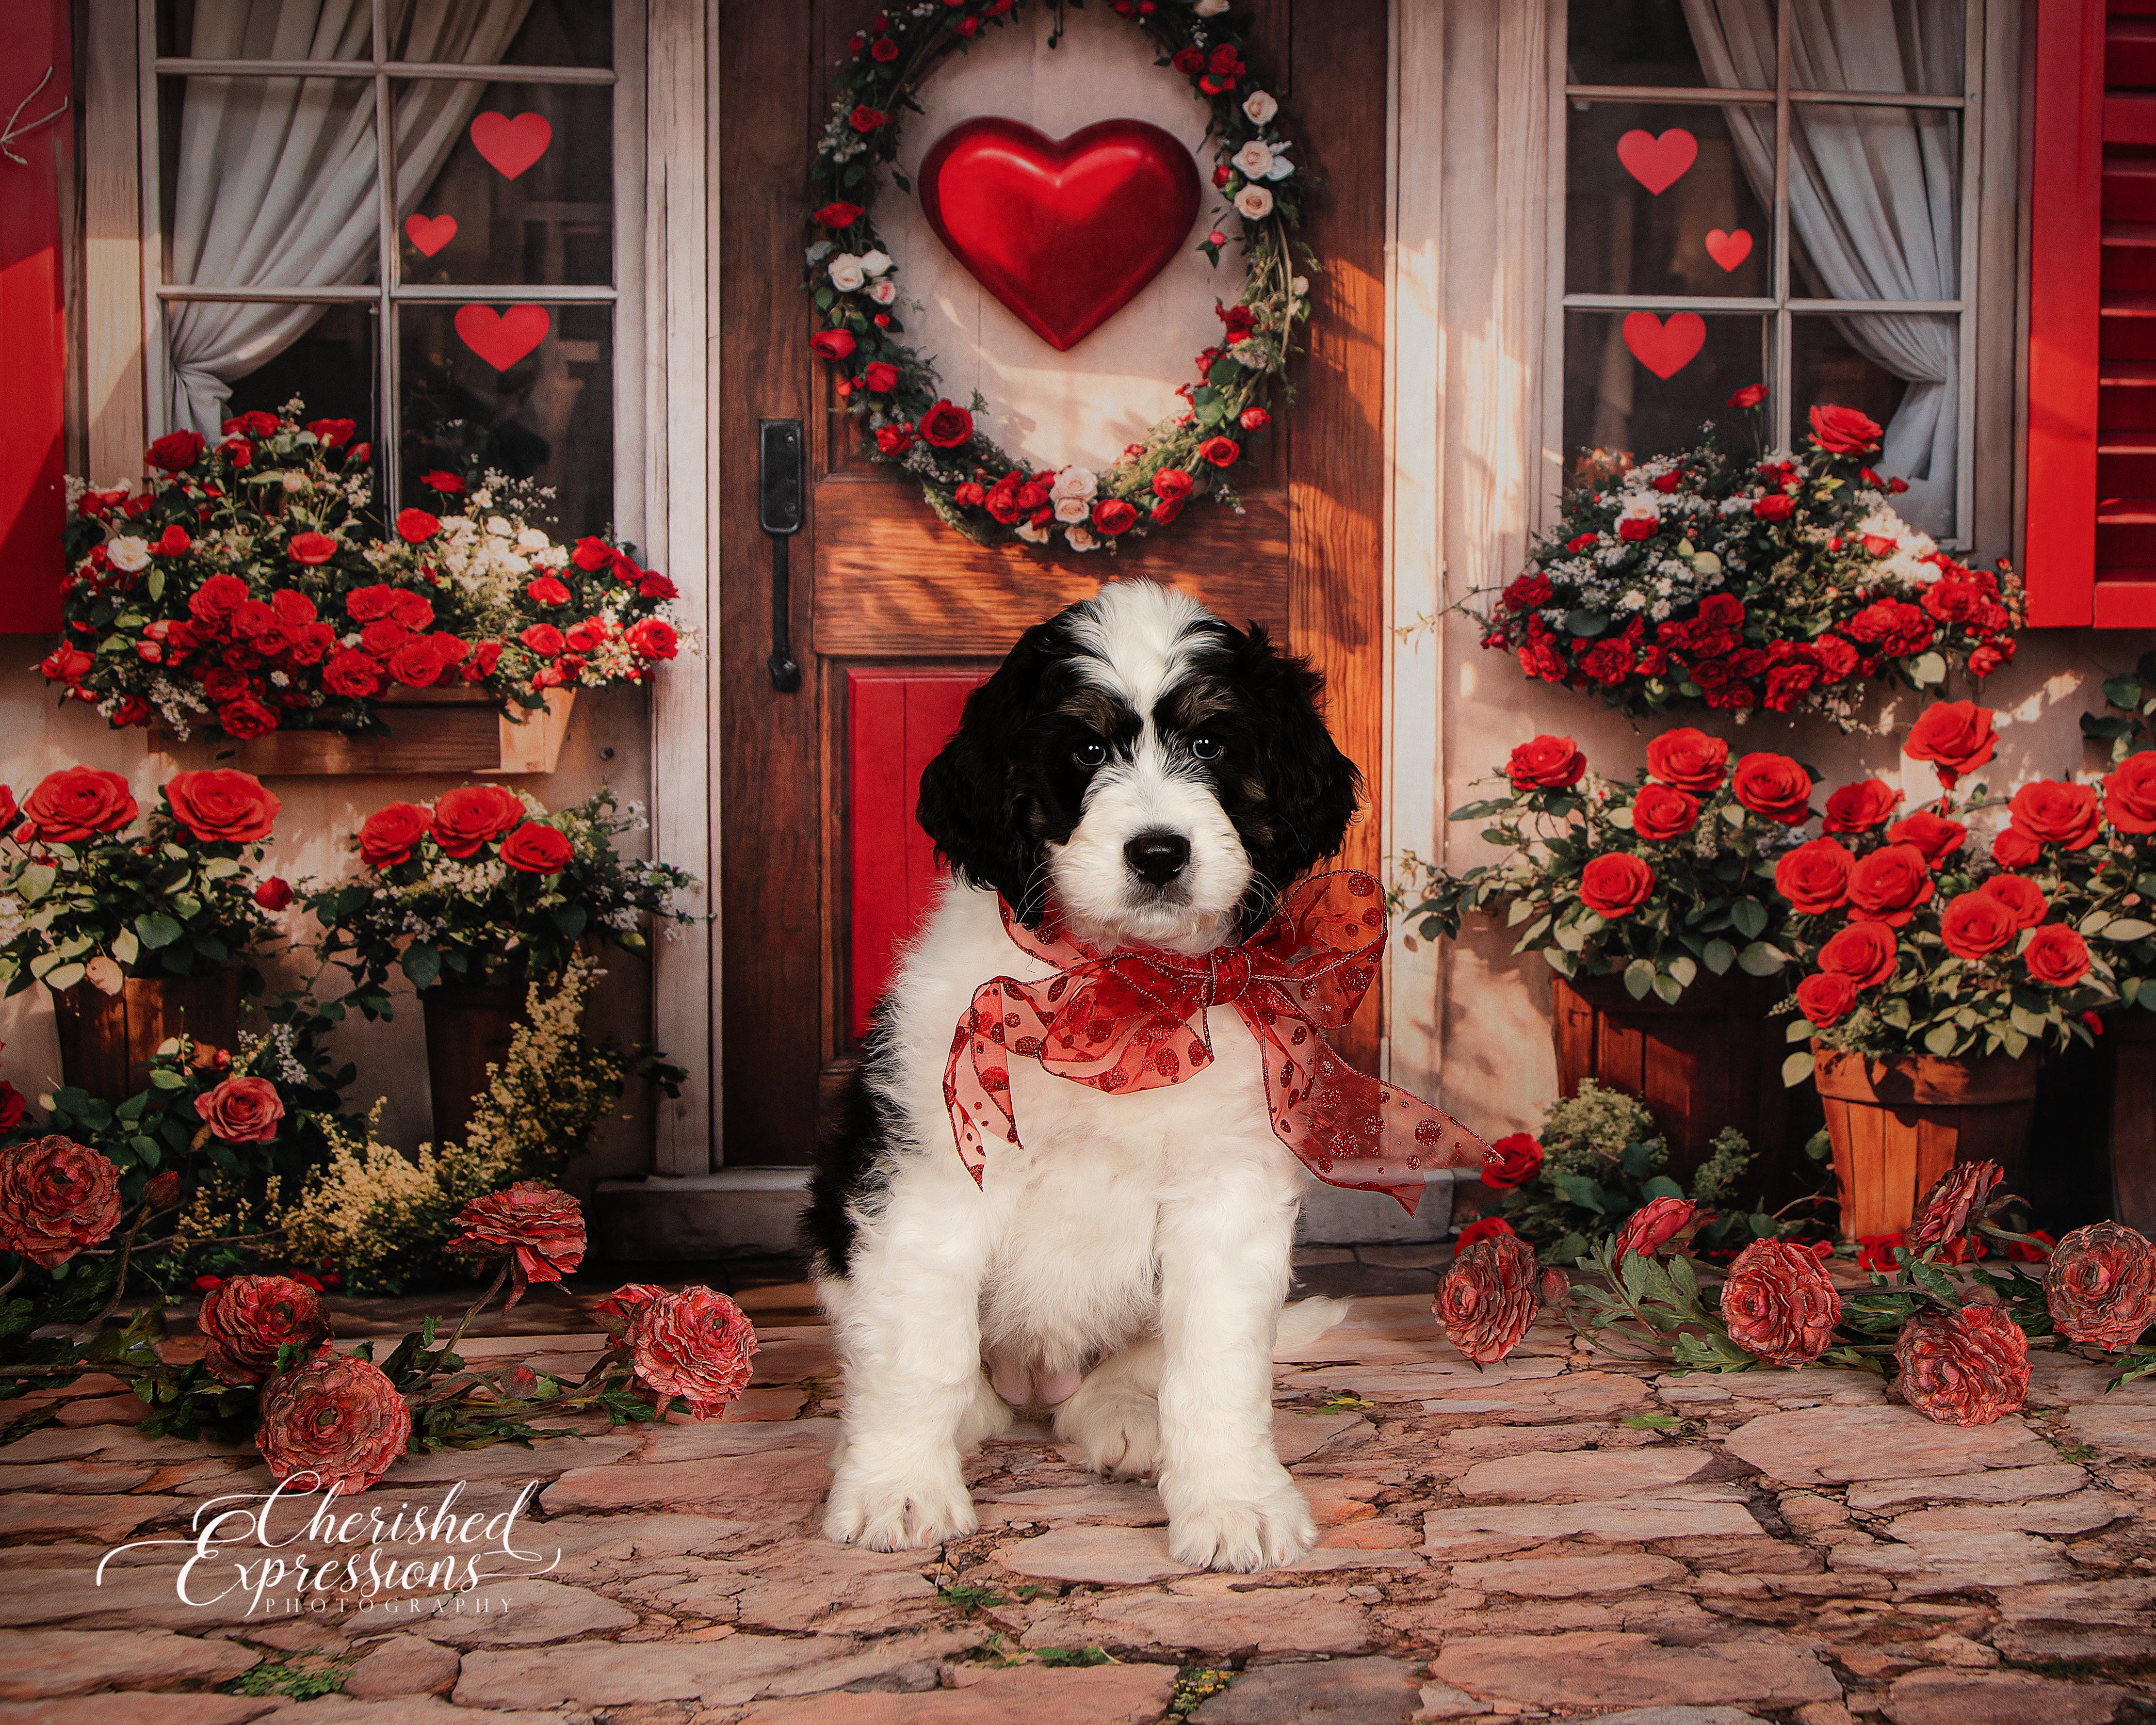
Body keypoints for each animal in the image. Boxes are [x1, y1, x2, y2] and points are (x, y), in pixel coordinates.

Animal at [810, 582, 1363, 1578]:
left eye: (1211, 744)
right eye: (1084, 749)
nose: (1158, 852)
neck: (1116, 994)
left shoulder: (1225, 1190)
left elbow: (1215, 1364)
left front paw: (1235, 1502)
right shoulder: (931, 1172)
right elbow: (917, 1350)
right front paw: (897, 1489)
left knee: (1129, 1372)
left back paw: (1125, 1421)